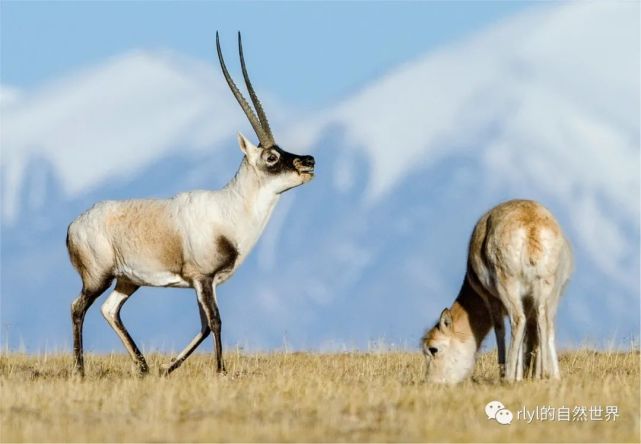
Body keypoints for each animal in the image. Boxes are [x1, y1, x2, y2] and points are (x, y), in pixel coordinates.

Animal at [65, 33, 316, 376]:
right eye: (271, 157)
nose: (309, 161)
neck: (229, 209)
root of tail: (74, 225)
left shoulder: (207, 283)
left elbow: (205, 325)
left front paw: (168, 367)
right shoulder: (202, 278)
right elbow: (215, 321)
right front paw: (220, 371)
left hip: (127, 280)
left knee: (109, 310)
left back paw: (144, 367)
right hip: (97, 277)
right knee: (78, 308)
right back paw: (80, 369)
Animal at [422, 199, 572, 384]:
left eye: (433, 349)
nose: (430, 382)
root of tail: (531, 224)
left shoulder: (492, 300)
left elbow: (500, 329)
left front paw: (509, 375)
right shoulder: (528, 302)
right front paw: (523, 376)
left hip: (508, 286)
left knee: (518, 320)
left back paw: (509, 377)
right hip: (548, 290)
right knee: (545, 321)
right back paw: (548, 375)